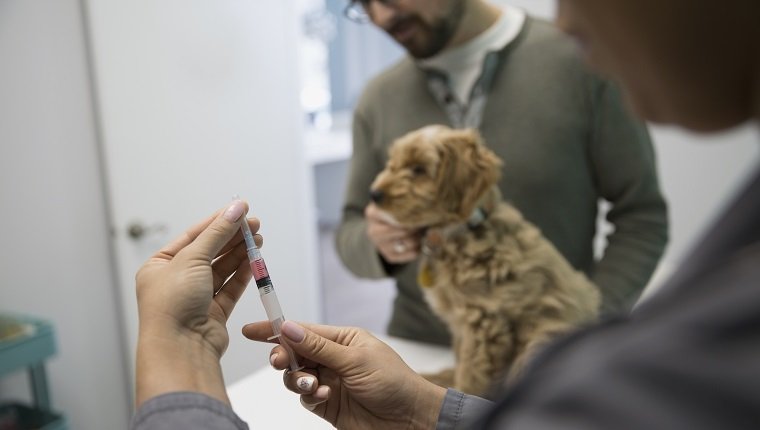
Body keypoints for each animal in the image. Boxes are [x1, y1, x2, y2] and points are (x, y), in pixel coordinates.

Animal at [368, 124, 600, 396]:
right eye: (392, 163)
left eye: (418, 169)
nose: (374, 194)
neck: (459, 231)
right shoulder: (460, 322)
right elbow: (460, 357)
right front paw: (449, 382)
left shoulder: (483, 322)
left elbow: (471, 374)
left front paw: (458, 392)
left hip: (541, 339)